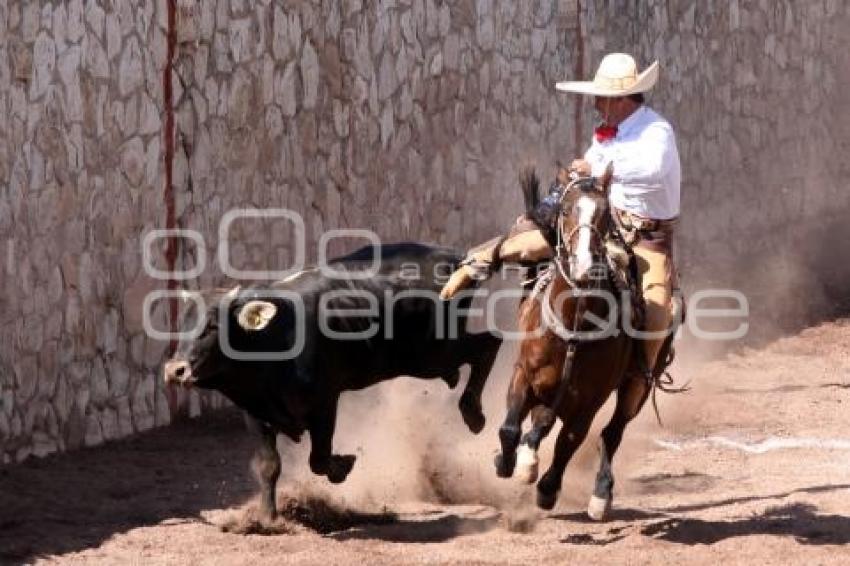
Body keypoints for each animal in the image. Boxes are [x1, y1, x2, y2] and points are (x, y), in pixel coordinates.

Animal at [162, 242, 500, 520]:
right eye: (182, 324)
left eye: (212, 326)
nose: (176, 370)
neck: (272, 338)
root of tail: (453, 258)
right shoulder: (256, 412)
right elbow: (269, 465)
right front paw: (266, 519)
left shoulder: (325, 404)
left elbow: (319, 459)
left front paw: (343, 466)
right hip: (430, 359)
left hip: (433, 354)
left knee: (488, 343)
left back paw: (473, 413)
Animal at [490, 164, 668, 520]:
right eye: (567, 210)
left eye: (605, 215)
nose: (585, 266)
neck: (574, 325)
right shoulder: (524, 374)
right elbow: (511, 427)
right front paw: (509, 462)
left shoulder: (589, 401)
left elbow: (569, 442)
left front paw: (546, 488)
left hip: (637, 387)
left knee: (612, 433)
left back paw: (600, 494)